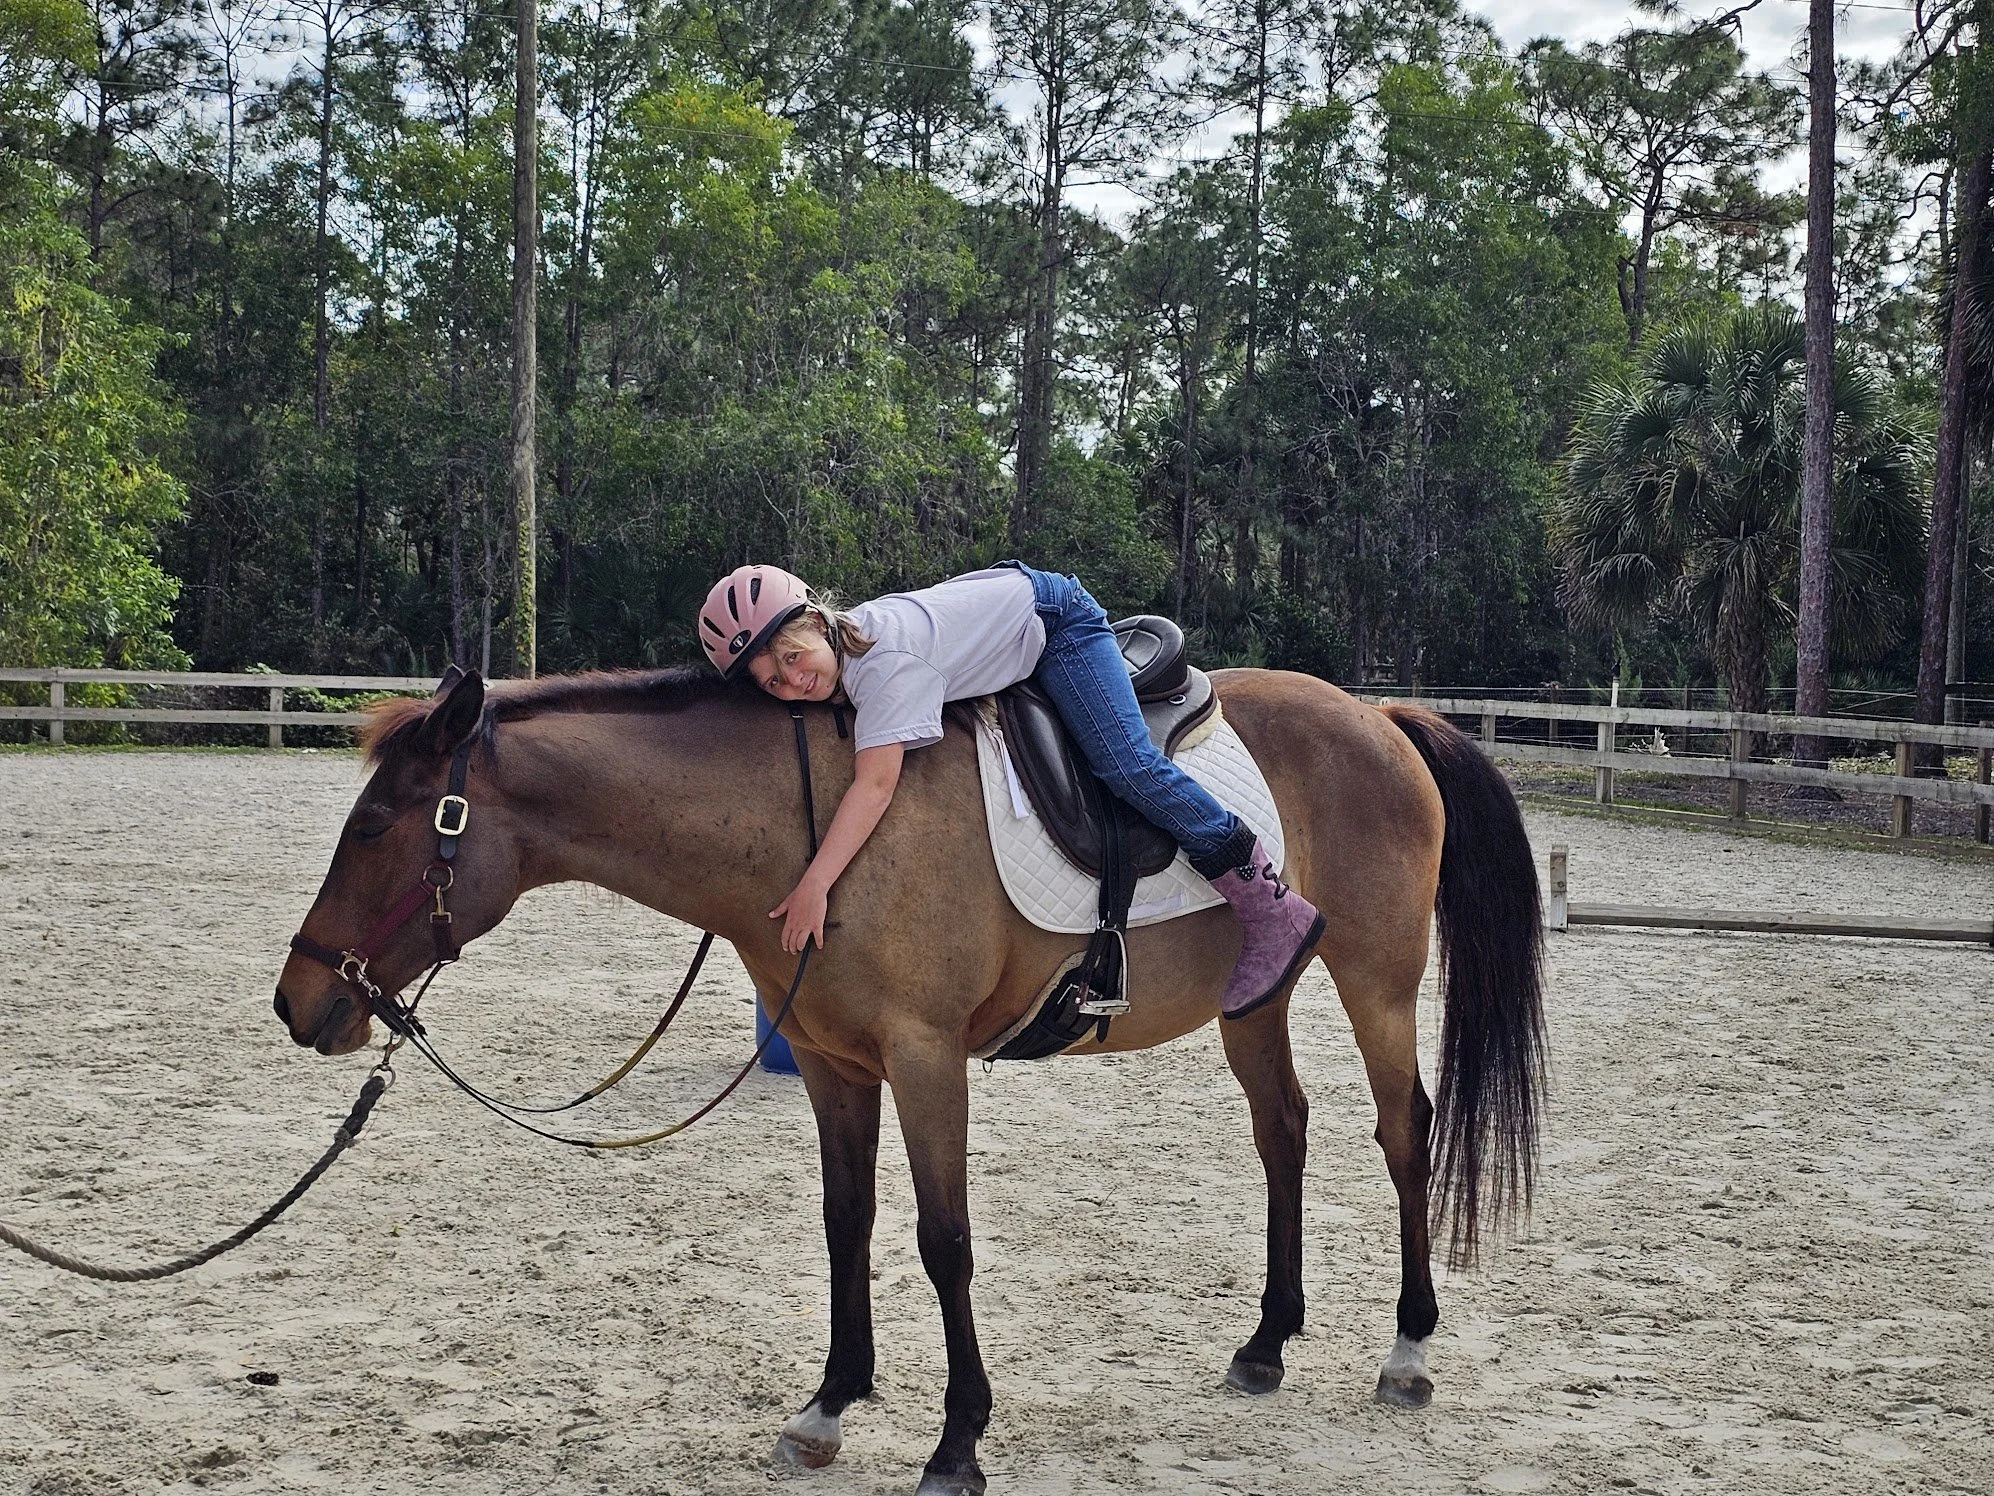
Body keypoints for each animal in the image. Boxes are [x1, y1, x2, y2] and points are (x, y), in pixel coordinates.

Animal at [273, 664, 1545, 1496]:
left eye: (375, 821)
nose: (297, 999)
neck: (820, 820)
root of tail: (1378, 716)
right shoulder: (836, 1065)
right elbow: (847, 1220)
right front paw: (828, 1403)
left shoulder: (927, 1059)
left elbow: (944, 1240)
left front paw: (957, 1441)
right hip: (1255, 998)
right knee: (1283, 1129)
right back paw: (1267, 1340)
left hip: (1375, 979)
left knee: (1402, 1130)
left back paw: (1407, 1349)